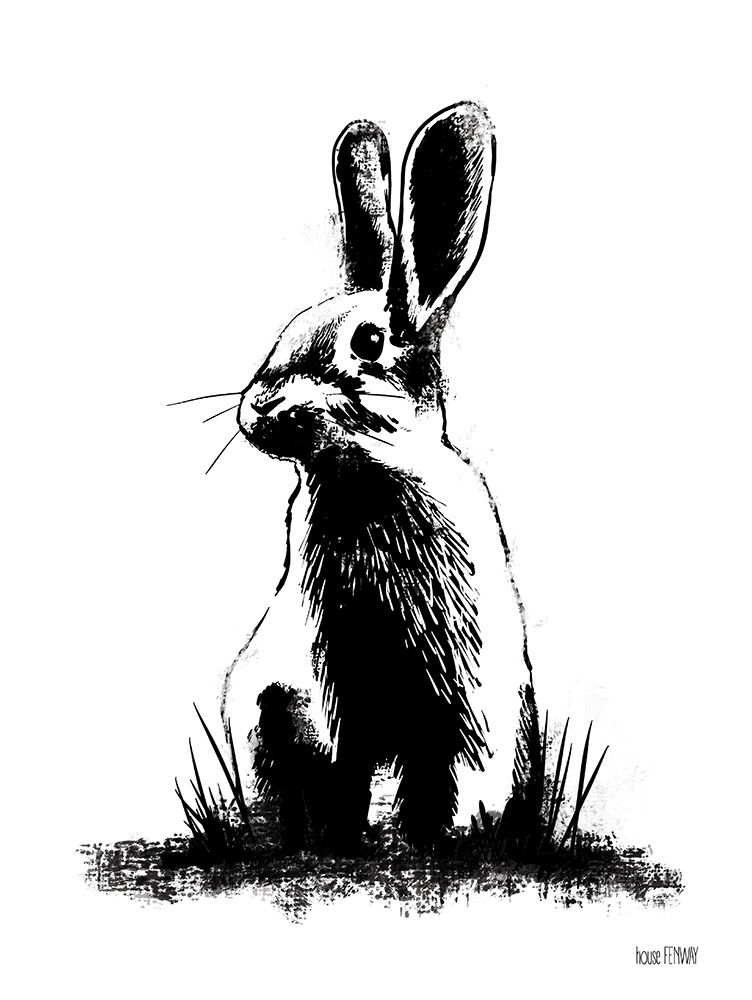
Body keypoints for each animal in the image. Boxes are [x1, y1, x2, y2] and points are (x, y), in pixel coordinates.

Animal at [220, 101, 542, 854]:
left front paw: (437, 842)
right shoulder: (334, 682)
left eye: (368, 343)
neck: (370, 472)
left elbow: (449, 773)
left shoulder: (460, 693)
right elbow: (354, 768)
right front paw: (351, 840)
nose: (259, 408)